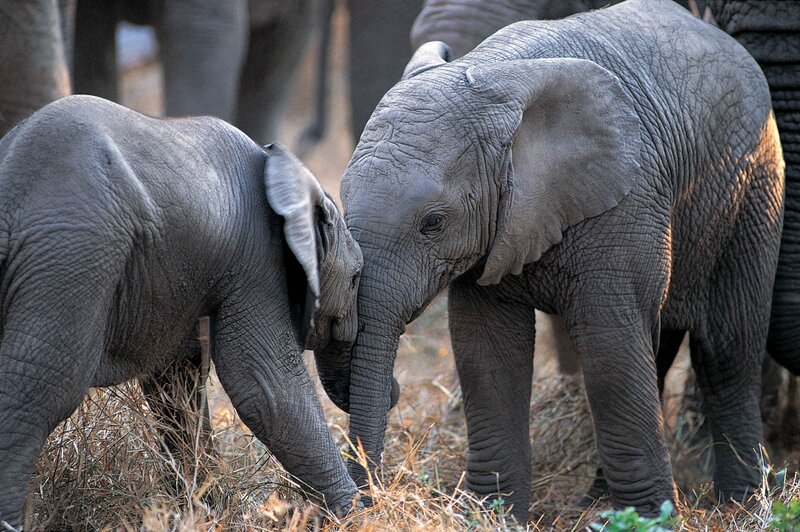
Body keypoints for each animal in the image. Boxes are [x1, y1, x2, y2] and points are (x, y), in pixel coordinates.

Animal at [0, 95, 361, 529]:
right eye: (356, 279)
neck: (288, 172)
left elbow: (176, 387)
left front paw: (207, 514)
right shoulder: (257, 261)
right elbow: (269, 387)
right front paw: (359, 515)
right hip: (72, 255)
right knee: (41, 386)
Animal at [316, 0, 786, 522]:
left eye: (433, 224)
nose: (365, 503)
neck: (492, 81)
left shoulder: (627, 200)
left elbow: (609, 345)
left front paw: (650, 520)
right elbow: (487, 350)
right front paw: (492, 516)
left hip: (754, 187)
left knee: (726, 347)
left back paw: (741, 504)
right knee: (658, 345)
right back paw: (599, 502)